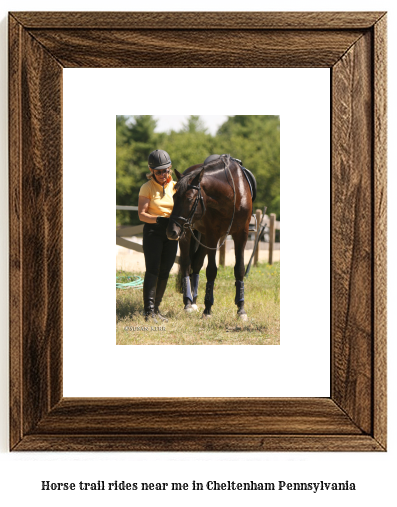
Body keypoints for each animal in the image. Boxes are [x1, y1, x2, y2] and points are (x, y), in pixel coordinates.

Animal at [166, 155, 252, 322]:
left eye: (189, 198)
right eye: (174, 197)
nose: (171, 231)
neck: (232, 194)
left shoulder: (241, 234)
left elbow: (239, 269)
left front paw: (241, 309)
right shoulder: (213, 235)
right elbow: (211, 270)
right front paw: (207, 309)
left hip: (202, 237)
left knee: (196, 263)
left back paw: (194, 300)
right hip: (187, 233)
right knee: (186, 264)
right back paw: (188, 302)